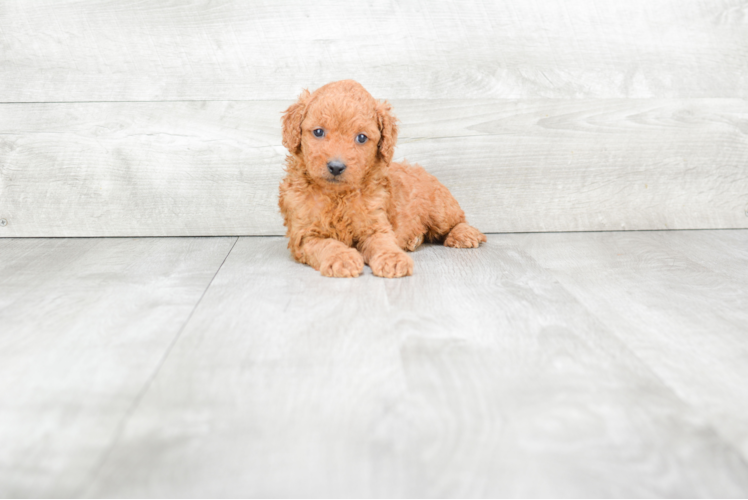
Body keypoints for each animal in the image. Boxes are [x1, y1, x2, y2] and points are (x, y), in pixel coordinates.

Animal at [280, 80, 486, 280]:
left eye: (361, 137)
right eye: (318, 132)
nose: (336, 167)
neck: (339, 195)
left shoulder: (375, 224)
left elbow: (383, 242)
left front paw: (393, 259)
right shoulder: (305, 235)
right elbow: (327, 244)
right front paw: (342, 258)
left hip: (440, 209)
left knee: (457, 220)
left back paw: (465, 234)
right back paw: (414, 239)